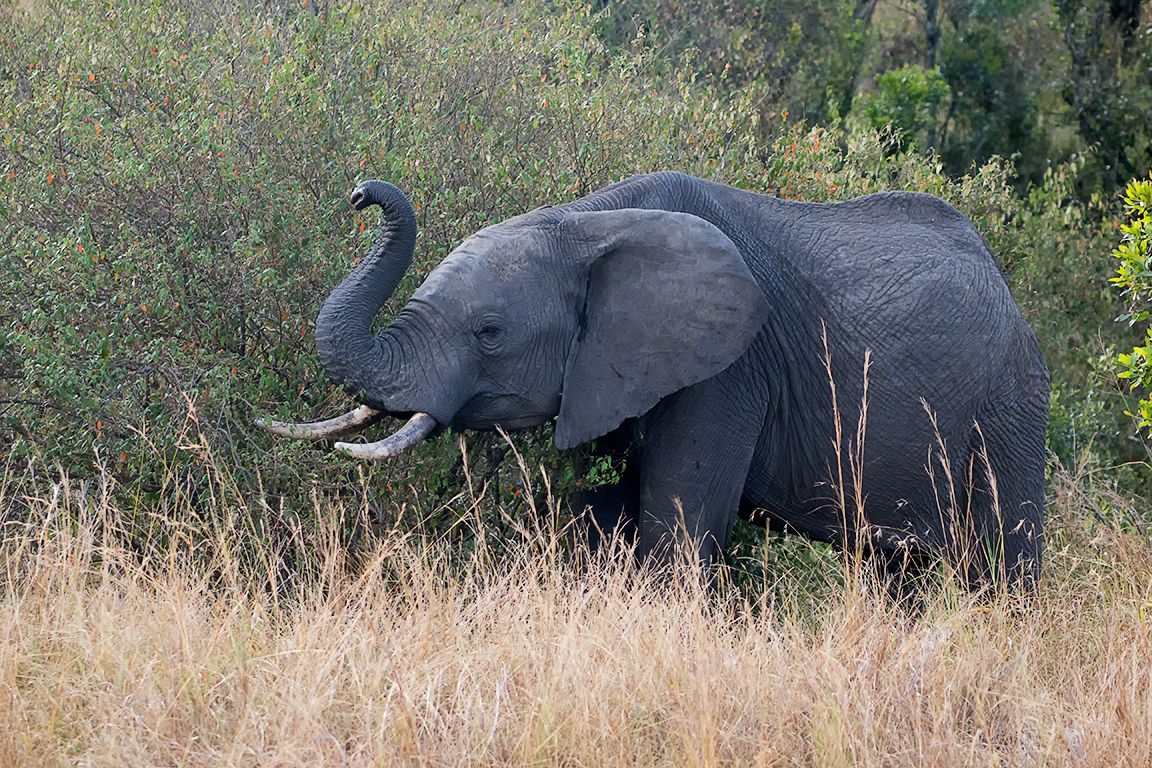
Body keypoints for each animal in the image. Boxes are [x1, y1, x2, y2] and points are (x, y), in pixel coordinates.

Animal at [256, 171, 1049, 592]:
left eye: (489, 333)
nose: (360, 193)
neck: (586, 222)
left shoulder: (729, 371)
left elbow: (679, 531)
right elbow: (602, 518)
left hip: (1011, 405)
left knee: (1001, 564)